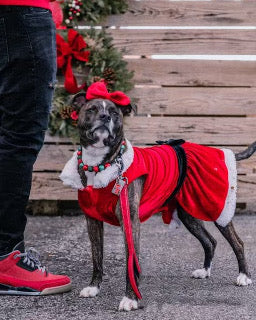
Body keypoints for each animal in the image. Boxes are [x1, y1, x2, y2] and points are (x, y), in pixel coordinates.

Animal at [60, 81, 256, 312]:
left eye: (115, 113)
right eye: (91, 109)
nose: (105, 117)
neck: (101, 164)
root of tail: (214, 150)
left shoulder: (130, 221)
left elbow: (131, 262)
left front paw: (131, 298)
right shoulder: (92, 220)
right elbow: (96, 257)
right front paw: (93, 287)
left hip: (216, 206)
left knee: (238, 243)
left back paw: (244, 276)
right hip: (188, 213)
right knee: (210, 241)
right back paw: (205, 270)